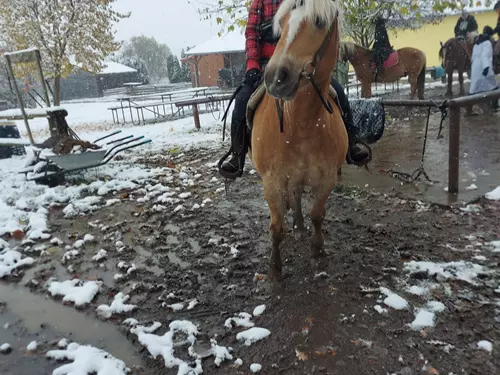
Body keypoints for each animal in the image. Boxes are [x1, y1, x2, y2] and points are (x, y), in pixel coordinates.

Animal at [249, 0, 348, 282]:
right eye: (280, 25)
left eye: (319, 22)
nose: (275, 78)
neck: (302, 123)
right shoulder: (272, 182)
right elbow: (276, 227)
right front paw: (275, 269)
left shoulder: (328, 178)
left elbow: (317, 215)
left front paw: (317, 250)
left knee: (297, 196)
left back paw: (301, 225)